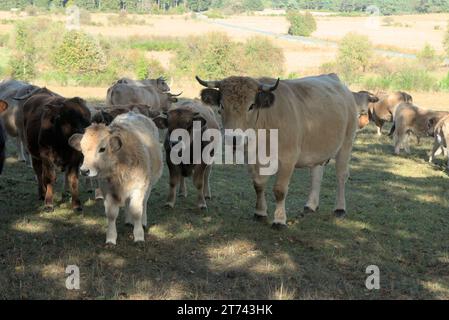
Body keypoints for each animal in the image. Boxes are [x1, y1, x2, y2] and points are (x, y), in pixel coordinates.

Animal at [196, 73, 356, 228]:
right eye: (222, 106)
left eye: (251, 106)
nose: (233, 138)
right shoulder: (252, 159)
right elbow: (258, 185)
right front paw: (260, 212)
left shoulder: (288, 158)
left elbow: (279, 190)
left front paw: (279, 220)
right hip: (318, 149)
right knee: (316, 174)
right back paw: (310, 205)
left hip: (346, 143)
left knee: (341, 175)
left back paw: (340, 208)